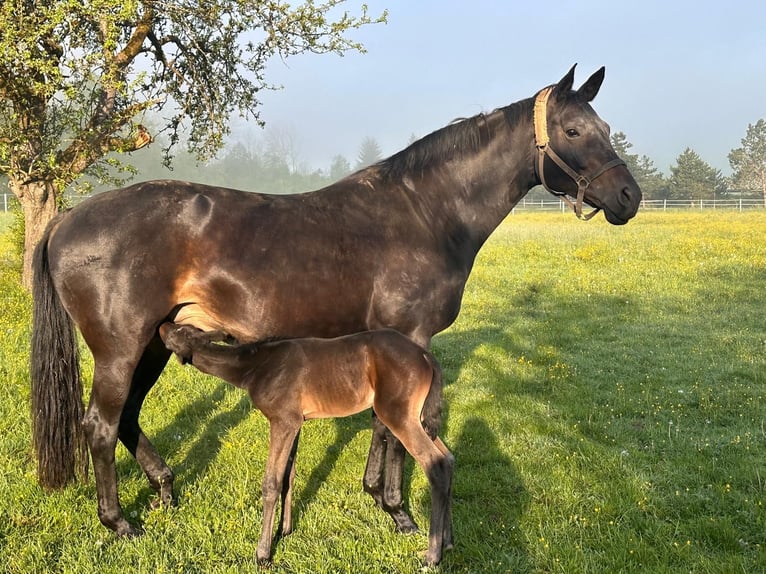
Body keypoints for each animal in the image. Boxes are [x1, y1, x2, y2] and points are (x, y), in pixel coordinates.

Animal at [28, 66, 640, 540]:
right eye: (573, 129)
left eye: (607, 127)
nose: (628, 197)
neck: (425, 214)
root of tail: (68, 218)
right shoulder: (408, 337)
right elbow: (393, 426)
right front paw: (397, 511)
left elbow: (382, 421)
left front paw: (377, 496)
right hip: (120, 348)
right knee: (101, 425)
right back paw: (119, 523)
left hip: (156, 342)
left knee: (127, 418)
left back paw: (166, 489)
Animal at [158, 324, 452, 568]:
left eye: (180, 331)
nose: (162, 325)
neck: (254, 367)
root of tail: (425, 356)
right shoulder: (295, 422)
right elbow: (288, 476)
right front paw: (284, 531)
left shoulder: (283, 420)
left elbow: (272, 482)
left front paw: (263, 554)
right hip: (419, 418)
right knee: (448, 459)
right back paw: (448, 542)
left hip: (398, 414)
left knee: (434, 464)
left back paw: (432, 556)